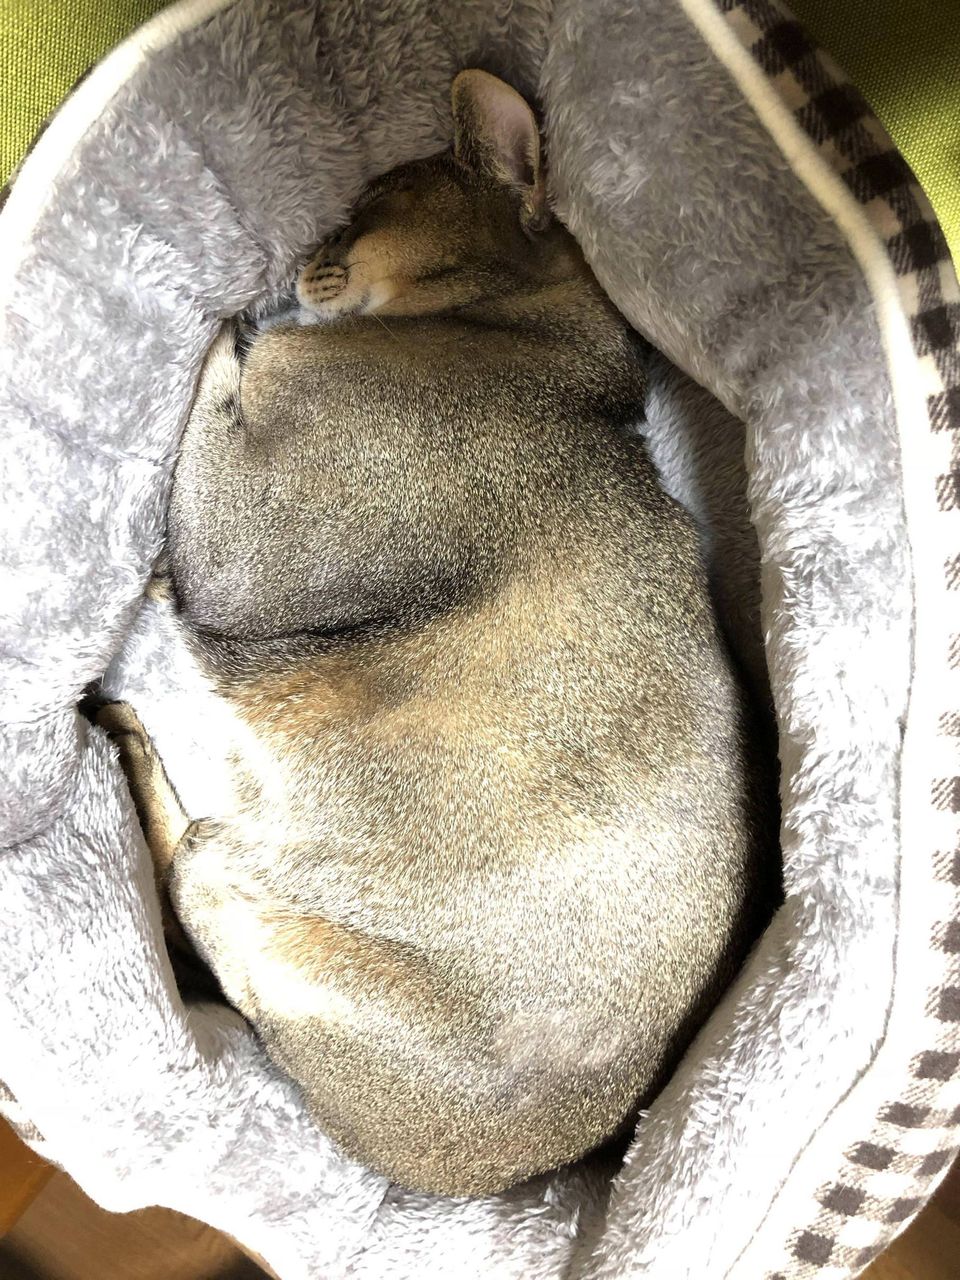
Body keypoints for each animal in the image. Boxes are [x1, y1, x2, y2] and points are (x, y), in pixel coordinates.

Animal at [100, 69, 778, 1197]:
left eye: (367, 205)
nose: (302, 250)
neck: (534, 346)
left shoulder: (247, 543)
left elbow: (226, 372)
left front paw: (227, 317)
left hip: (241, 856)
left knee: (188, 858)